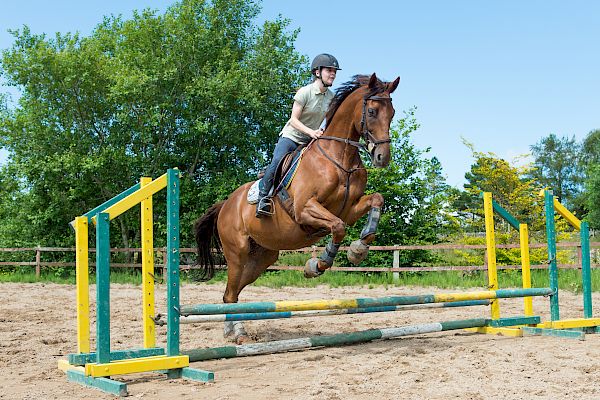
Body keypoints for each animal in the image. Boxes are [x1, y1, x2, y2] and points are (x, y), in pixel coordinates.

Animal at [193, 74, 398, 344]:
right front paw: (317, 265)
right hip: (237, 252)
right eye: (372, 111)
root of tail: (226, 204)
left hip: (262, 257)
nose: (382, 157)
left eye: (392, 113)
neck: (340, 158)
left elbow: (376, 200)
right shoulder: (305, 209)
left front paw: (358, 249)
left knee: (232, 293)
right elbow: (338, 227)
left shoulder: (350, 209)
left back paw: (234, 331)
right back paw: (238, 334)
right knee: (230, 292)